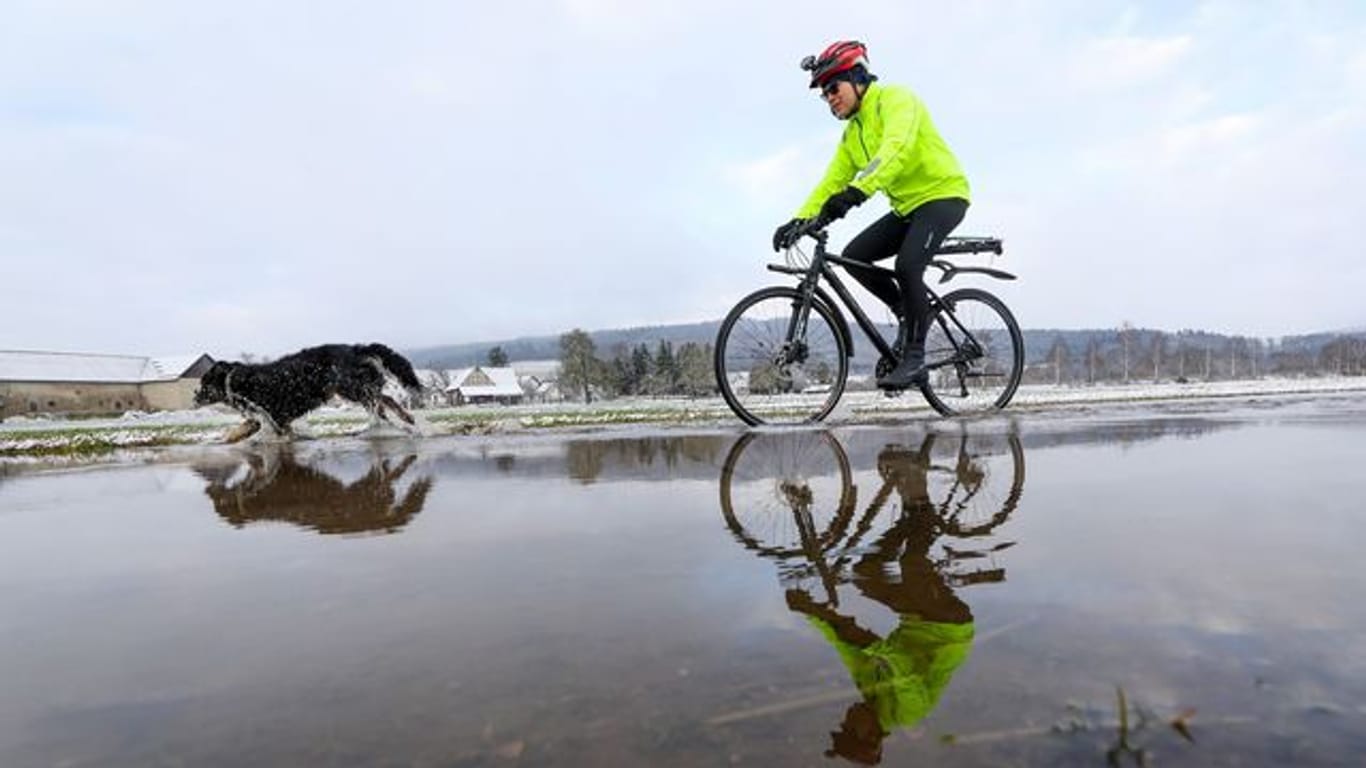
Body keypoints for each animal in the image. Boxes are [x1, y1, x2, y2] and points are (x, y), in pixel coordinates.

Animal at [195, 341, 423, 442]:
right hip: (355, 389)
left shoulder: (271, 416)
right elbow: (240, 430)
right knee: (384, 401)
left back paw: (403, 422)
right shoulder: (271, 419)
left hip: (352, 388)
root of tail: (357, 348)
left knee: (382, 403)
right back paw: (407, 420)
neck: (234, 382)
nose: (194, 397)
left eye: (204, 383)